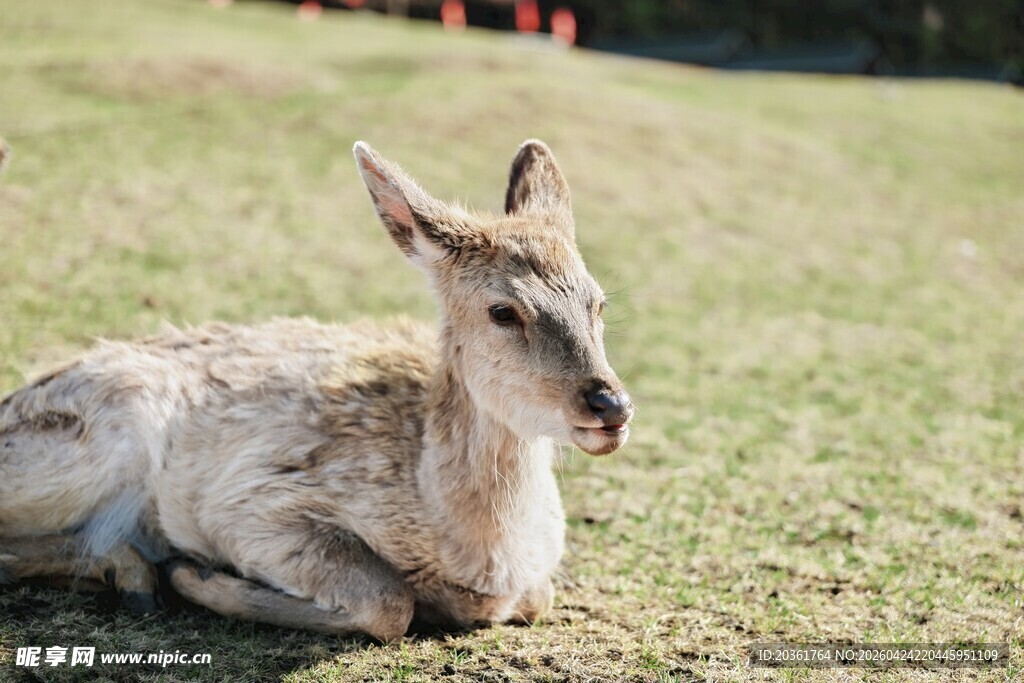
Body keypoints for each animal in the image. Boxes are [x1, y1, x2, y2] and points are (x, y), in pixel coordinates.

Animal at [0, 140, 634, 641]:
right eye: (503, 310)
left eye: (598, 303)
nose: (612, 405)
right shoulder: (250, 504)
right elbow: (390, 603)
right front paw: (198, 575)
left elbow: (538, 598)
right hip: (111, 432)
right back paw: (136, 574)